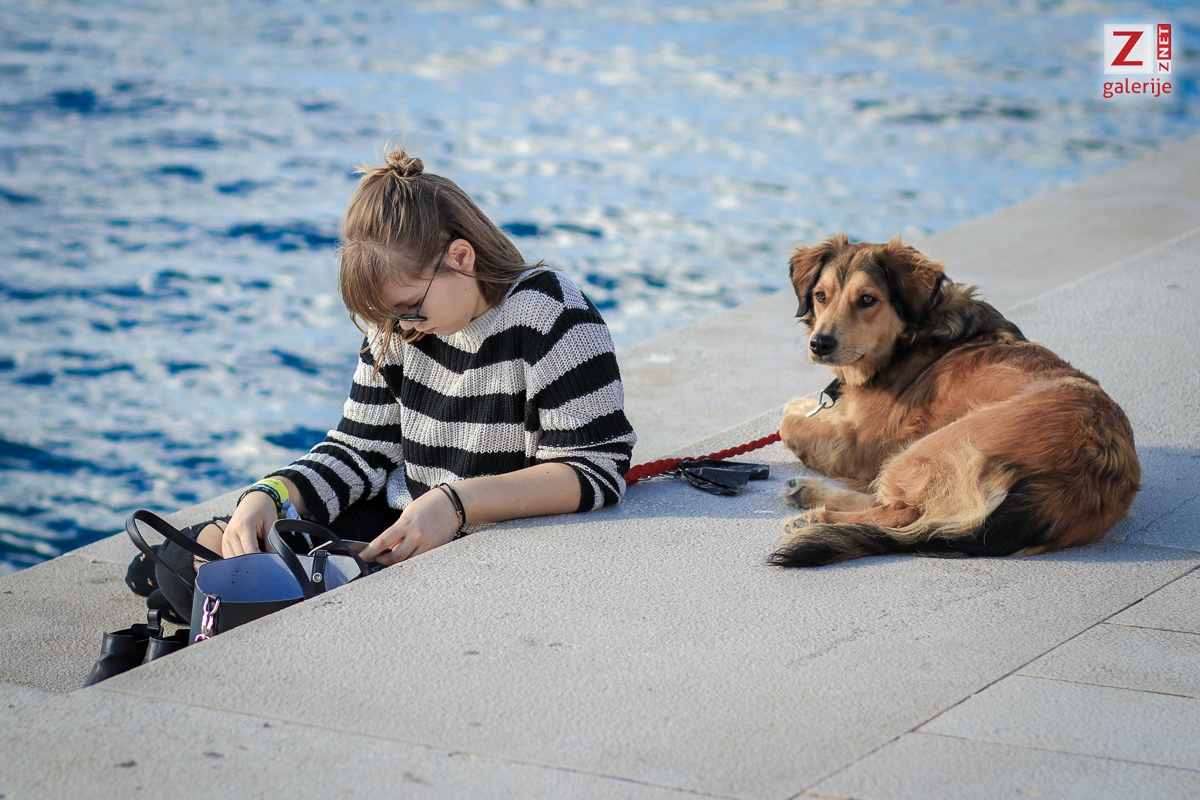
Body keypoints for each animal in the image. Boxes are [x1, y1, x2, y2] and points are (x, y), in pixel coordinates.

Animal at [771, 234, 1140, 567]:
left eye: (866, 299)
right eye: (820, 296)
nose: (820, 343)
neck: (913, 336)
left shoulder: (859, 447)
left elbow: (788, 425)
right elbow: (809, 411)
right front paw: (806, 405)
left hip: (926, 448)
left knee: (902, 512)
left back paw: (814, 519)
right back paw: (807, 492)